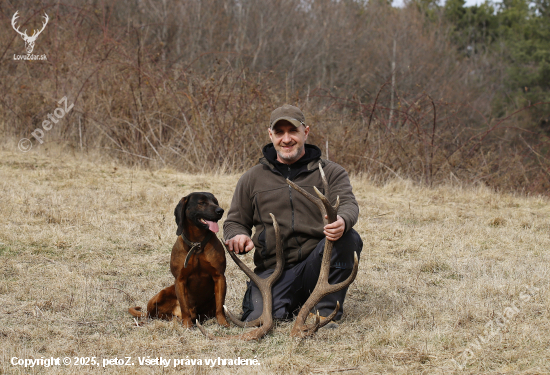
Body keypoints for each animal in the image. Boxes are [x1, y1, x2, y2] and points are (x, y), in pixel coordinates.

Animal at [129, 194, 231, 328]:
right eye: (202, 202)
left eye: (215, 202)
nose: (220, 211)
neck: (197, 245)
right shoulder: (180, 280)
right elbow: (184, 307)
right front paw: (187, 325)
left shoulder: (219, 277)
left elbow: (220, 305)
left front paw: (223, 323)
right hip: (160, 295)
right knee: (150, 315)